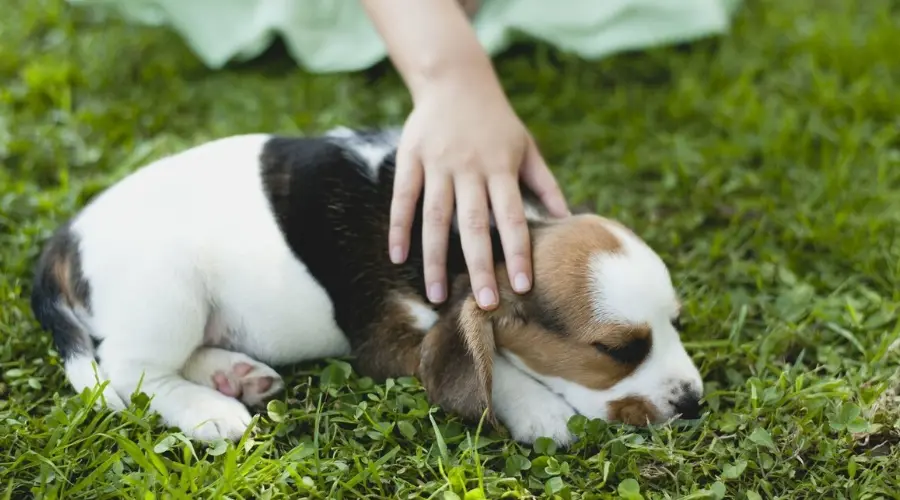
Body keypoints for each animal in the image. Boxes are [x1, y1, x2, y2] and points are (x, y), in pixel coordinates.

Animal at [31, 126, 708, 446]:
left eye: (677, 324)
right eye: (618, 350)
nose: (695, 402)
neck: (484, 238)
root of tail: (65, 237)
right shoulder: (387, 340)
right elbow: (494, 363)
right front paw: (539, 409)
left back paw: (234, 375)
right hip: (168, 291)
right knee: (129, 373)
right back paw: (210, 412)